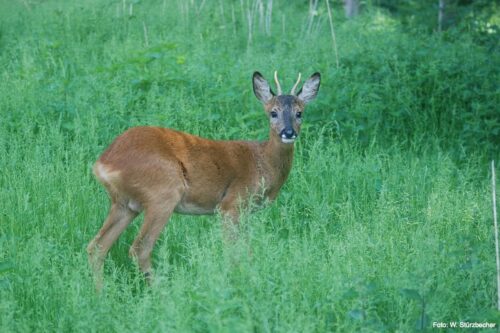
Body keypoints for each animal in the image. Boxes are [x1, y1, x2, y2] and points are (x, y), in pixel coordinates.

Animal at [87, 71, 320, 286]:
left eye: (300, 113)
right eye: (273, 113)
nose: (288, 132)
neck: (262, 162)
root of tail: (103, 163)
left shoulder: (245, 212)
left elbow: (247, 248)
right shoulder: (230, 204)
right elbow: (233, 250)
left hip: (125, 204)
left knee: (97, 246)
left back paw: (100, 293)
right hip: (162, 194)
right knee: (140, 248)